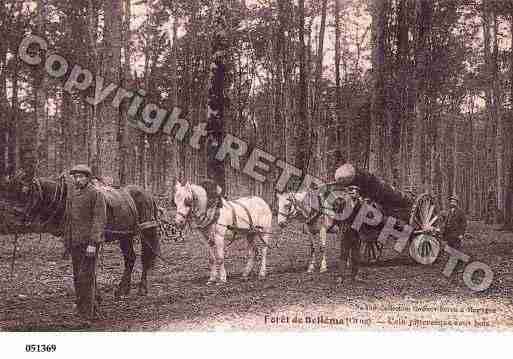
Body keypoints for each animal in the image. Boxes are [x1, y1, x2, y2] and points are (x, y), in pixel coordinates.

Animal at [0, 172, 160, 298]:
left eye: (25, 192)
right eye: (9, 192)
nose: (14, 216)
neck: (66, 197)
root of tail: (148, 194)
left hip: (146, 231)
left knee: (145, 258)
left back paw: (142, 288)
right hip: (125, 235)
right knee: (130, 258)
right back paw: (122, 289)